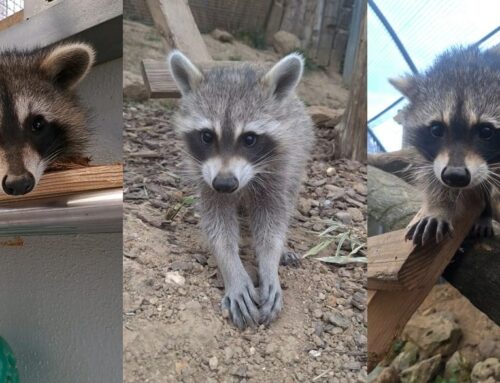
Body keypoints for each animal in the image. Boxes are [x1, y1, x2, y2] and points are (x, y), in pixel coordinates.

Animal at [170, 50, 314, 328]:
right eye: (207, 136)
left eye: (249, 139)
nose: (225, 184)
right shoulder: (206, 177)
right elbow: (217, 224)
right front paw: (232, 268)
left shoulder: (278, 169)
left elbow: (272, 221)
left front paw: (269, 263)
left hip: (298, 157)